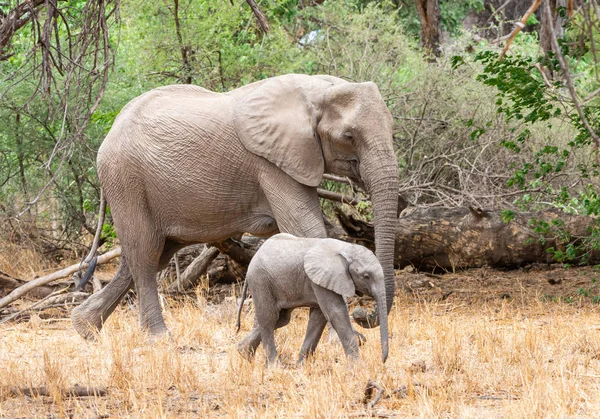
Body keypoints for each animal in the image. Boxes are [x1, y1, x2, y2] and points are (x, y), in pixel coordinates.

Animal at [71, 73, 398, 342]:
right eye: (349, 136)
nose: (363, 315)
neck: (315, 89)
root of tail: (110, 133)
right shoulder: (271, 163)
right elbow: (306, 229)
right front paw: (347, 340)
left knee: (146, 256)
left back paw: (85, 328)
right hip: (126, 179)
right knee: (145, 255)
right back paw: (158, 339)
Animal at [236, 235, 390, 366]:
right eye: (366, 276)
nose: (382, 361)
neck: (346, 248)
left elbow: (318, 318)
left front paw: (301, 367)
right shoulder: (321, 279)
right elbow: (336, 313)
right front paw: (358, 367)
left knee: (281, 319)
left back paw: (243, 353)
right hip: (260, 280)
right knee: (269, 319)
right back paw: (274, 366)